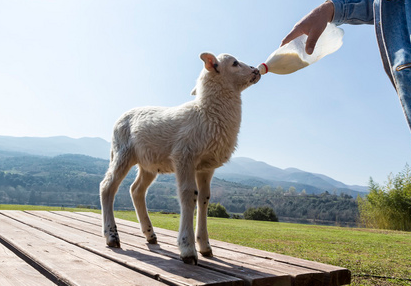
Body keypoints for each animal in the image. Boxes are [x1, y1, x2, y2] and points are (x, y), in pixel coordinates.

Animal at [100, 51, 260, 264]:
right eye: (234, 63)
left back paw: (150, 234)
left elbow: (204, 199)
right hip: (122, 152)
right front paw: (188, 249)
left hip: (148, 162)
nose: (256, 70)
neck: (206, 113)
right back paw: (112, 236)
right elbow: (188, 195)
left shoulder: (206, 166)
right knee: (107, 186)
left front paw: (205, 247)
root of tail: (119, 118)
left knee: (136, 190)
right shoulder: (185, 155)